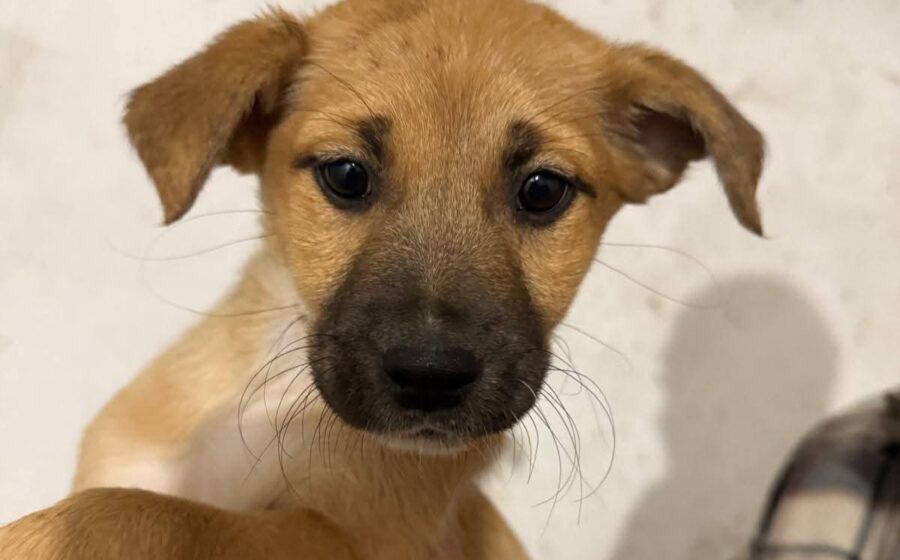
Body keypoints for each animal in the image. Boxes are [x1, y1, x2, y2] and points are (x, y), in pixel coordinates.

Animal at [0, 0, 764, 557]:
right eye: (346, 175)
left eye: (543, 190)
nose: (431, 376)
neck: (275, 398)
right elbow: (142, 502)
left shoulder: (364, 534)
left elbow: (151, 515)